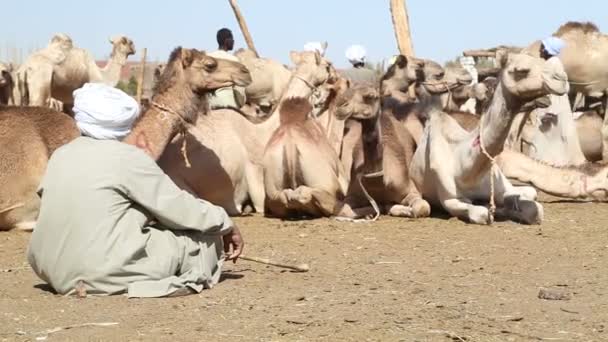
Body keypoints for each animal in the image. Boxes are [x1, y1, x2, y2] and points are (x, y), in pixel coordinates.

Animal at [408, 52, 568, 224]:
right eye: (521, 71)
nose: (561, 78)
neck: (467, 170)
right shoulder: (450, 199)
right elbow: (482, 213)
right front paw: (496, 210)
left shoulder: (499, 186)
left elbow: (534, 209)